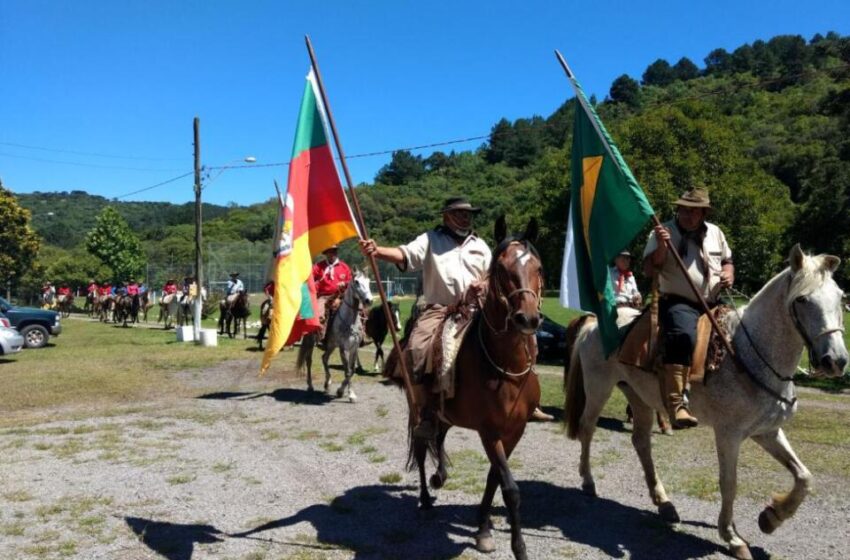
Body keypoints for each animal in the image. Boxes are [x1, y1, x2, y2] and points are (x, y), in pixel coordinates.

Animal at [294, 272, 372, 402]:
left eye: (369, 281)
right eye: (356, 282)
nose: (369, 300)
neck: (350, 321)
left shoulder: (354, 348)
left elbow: (352, 370)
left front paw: (341, 391)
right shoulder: (343, 349)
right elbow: (347, 371)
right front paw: (350, 394)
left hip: (331, 345)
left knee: (324, 358)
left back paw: (327, 383)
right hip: (311, 342)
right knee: (309, 361)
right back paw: (310, 386)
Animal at [402, 215, 536, 560]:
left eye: (539, 267)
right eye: (501, 269)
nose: (528, 318)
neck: (507, 367)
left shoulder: (515, 430)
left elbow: (494, 478)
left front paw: (483, 528)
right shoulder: (489, 432)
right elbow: (510, 488)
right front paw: (518, 547)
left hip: (445, 414)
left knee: (438, 438)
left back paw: (440, 476)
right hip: (419, 409)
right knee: (422, 446)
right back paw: (425, 499)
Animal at [560, 245, 844, 560]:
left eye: (841, 297)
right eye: (803, 299)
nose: (836, 361)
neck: (747, 354)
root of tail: (594, 323)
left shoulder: (767, 432)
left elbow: (804, 477)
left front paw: (771, 518)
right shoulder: (729, 435)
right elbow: (729, 484)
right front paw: (732, 537)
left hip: (640, 397)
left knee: (641, 442)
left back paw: (664, 503)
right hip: (598, 389)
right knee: (587, 429)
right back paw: (588, 481)